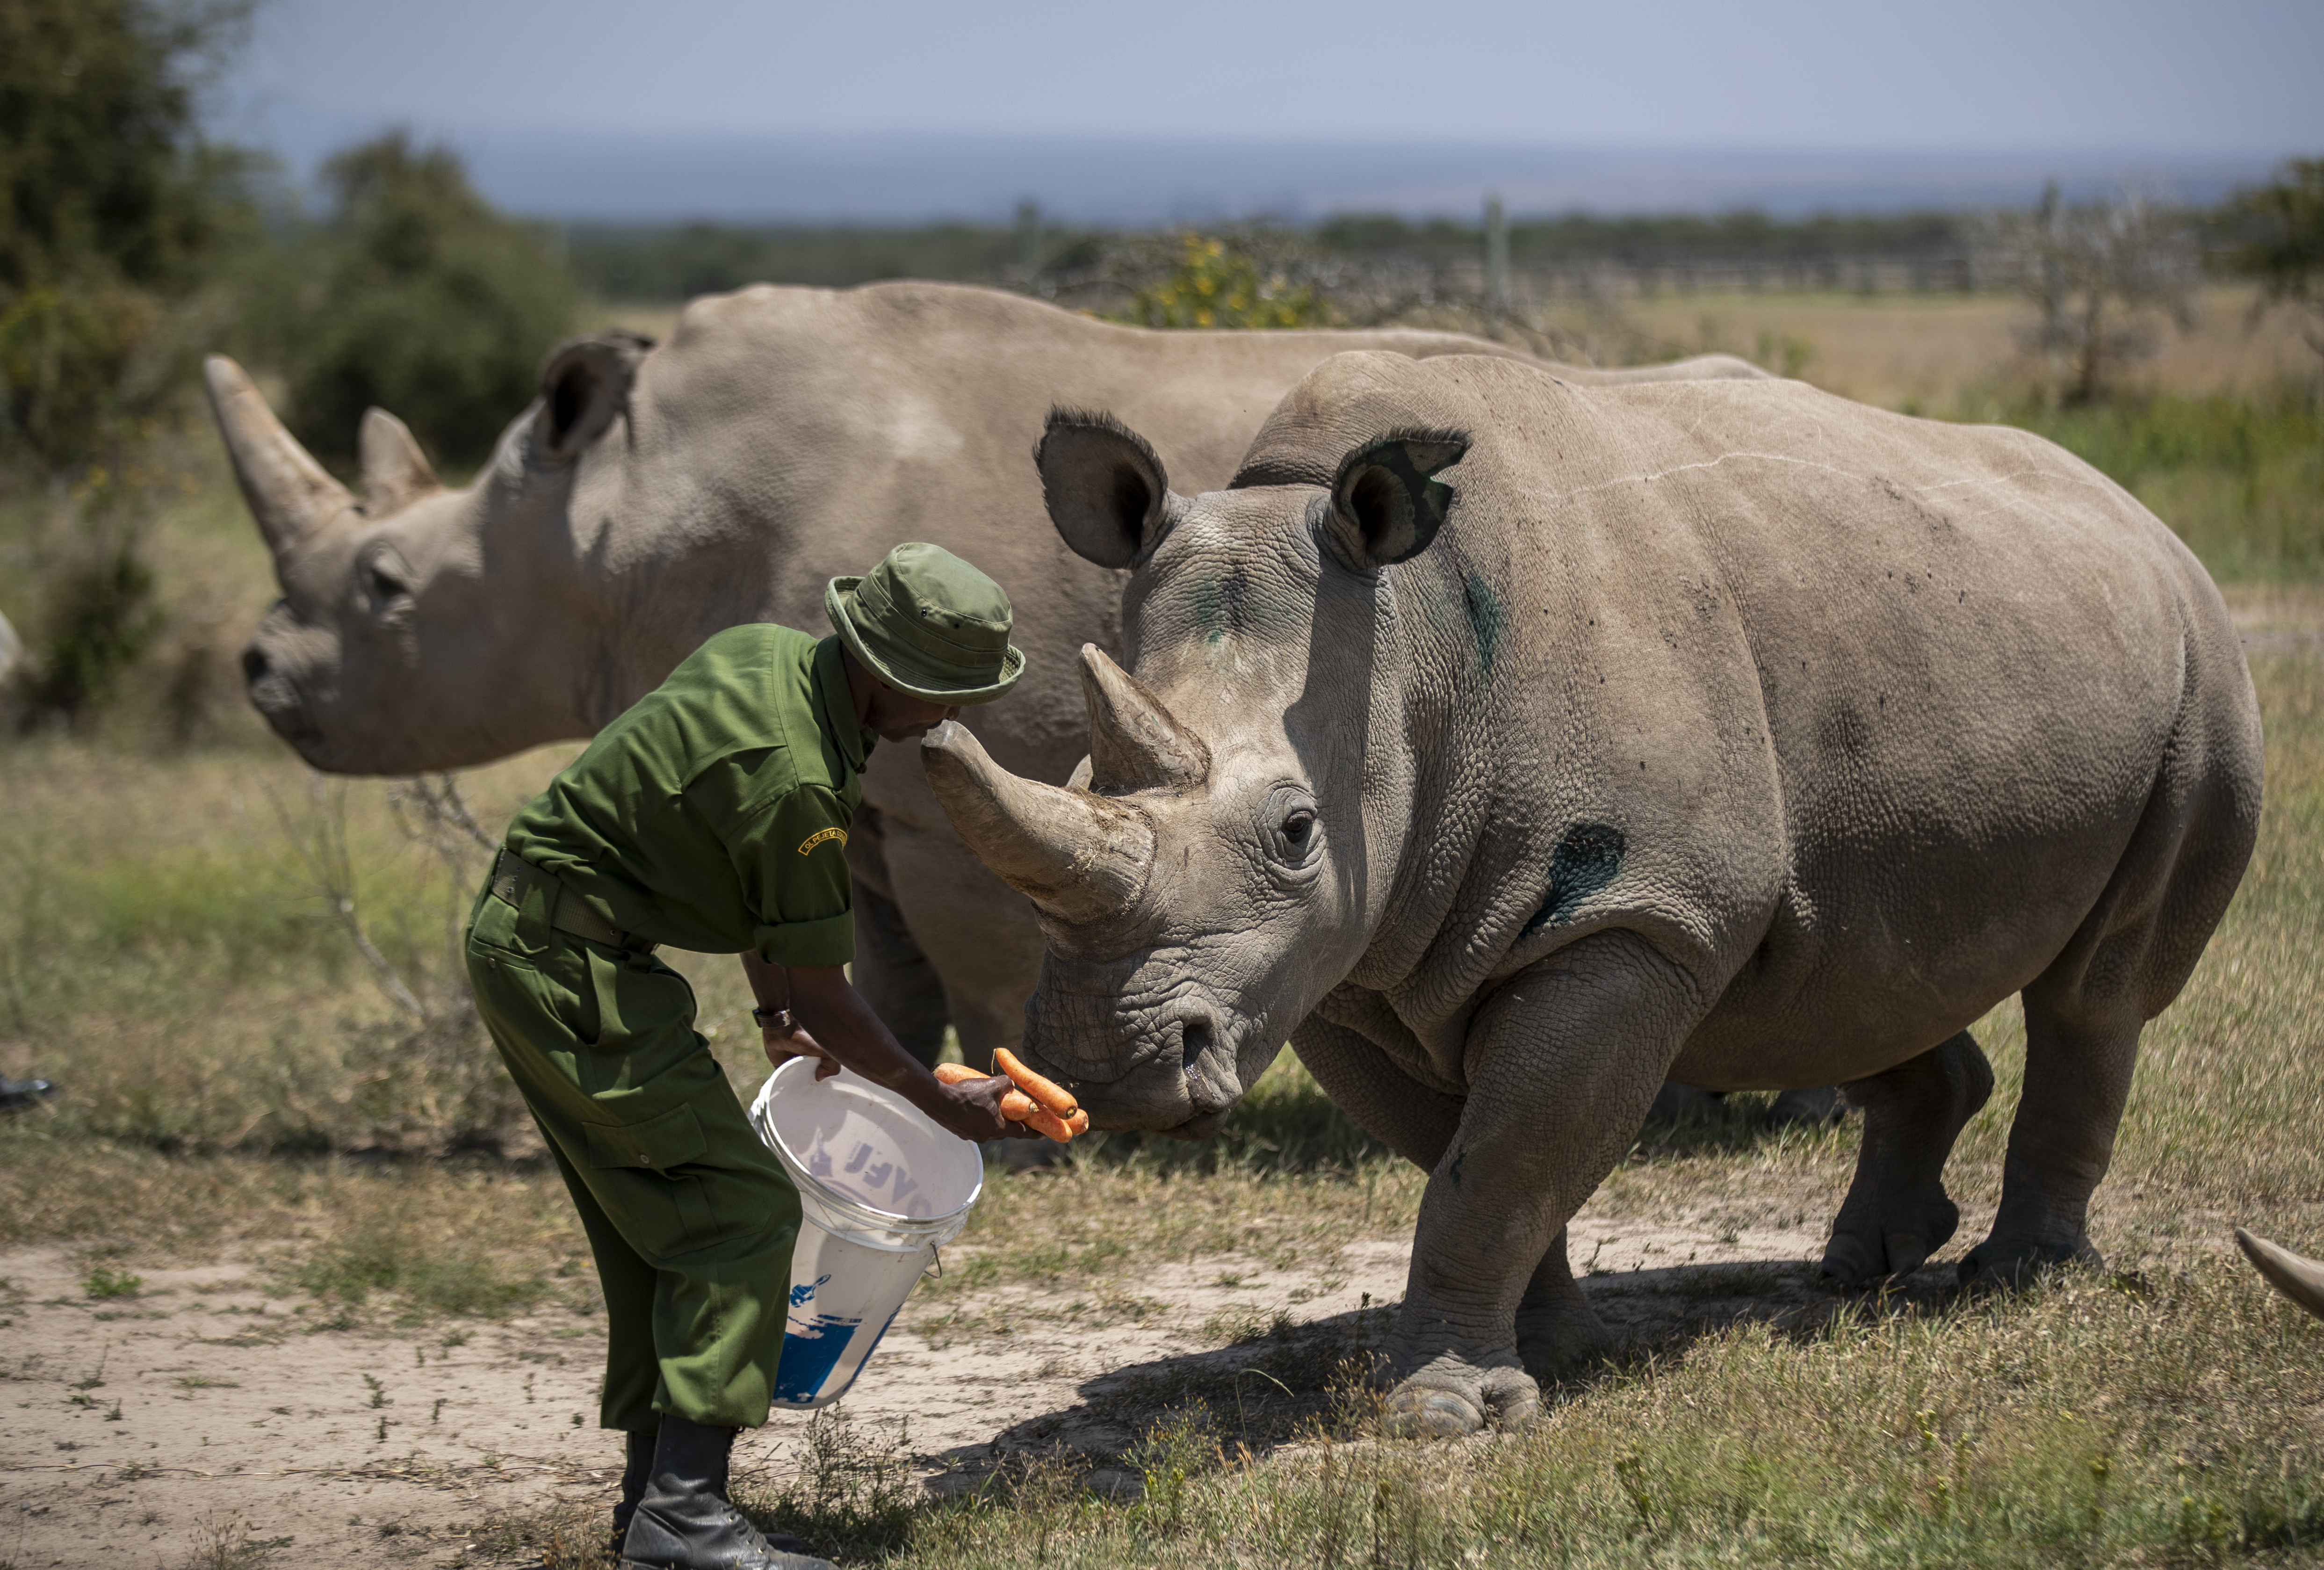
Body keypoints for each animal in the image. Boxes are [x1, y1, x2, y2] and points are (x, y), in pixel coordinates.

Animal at [207, 280, 1765, 1065]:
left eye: (384, 590)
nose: (258, 673)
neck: (616, 510)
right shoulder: (865, 788)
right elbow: (874, 955)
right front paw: (861, 1080)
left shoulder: (964, 778)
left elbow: (973, 946)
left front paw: (1032, 1104)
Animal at [919, 348, 2265, 1434]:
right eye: (1074, 775)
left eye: (1297, 831)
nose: (1109, 1067)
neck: (1409, 649)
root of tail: (2135, 510)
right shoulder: (1344, 960)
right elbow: (1470, 1156)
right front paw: (1552, 1353)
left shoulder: (1629, 919)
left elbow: (1502, 1158)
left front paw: (1445, 1413)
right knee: (1853, 962)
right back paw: (1863, 1266)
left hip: (2201, 668)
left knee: (2095, 991)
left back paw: (2017, 1281)